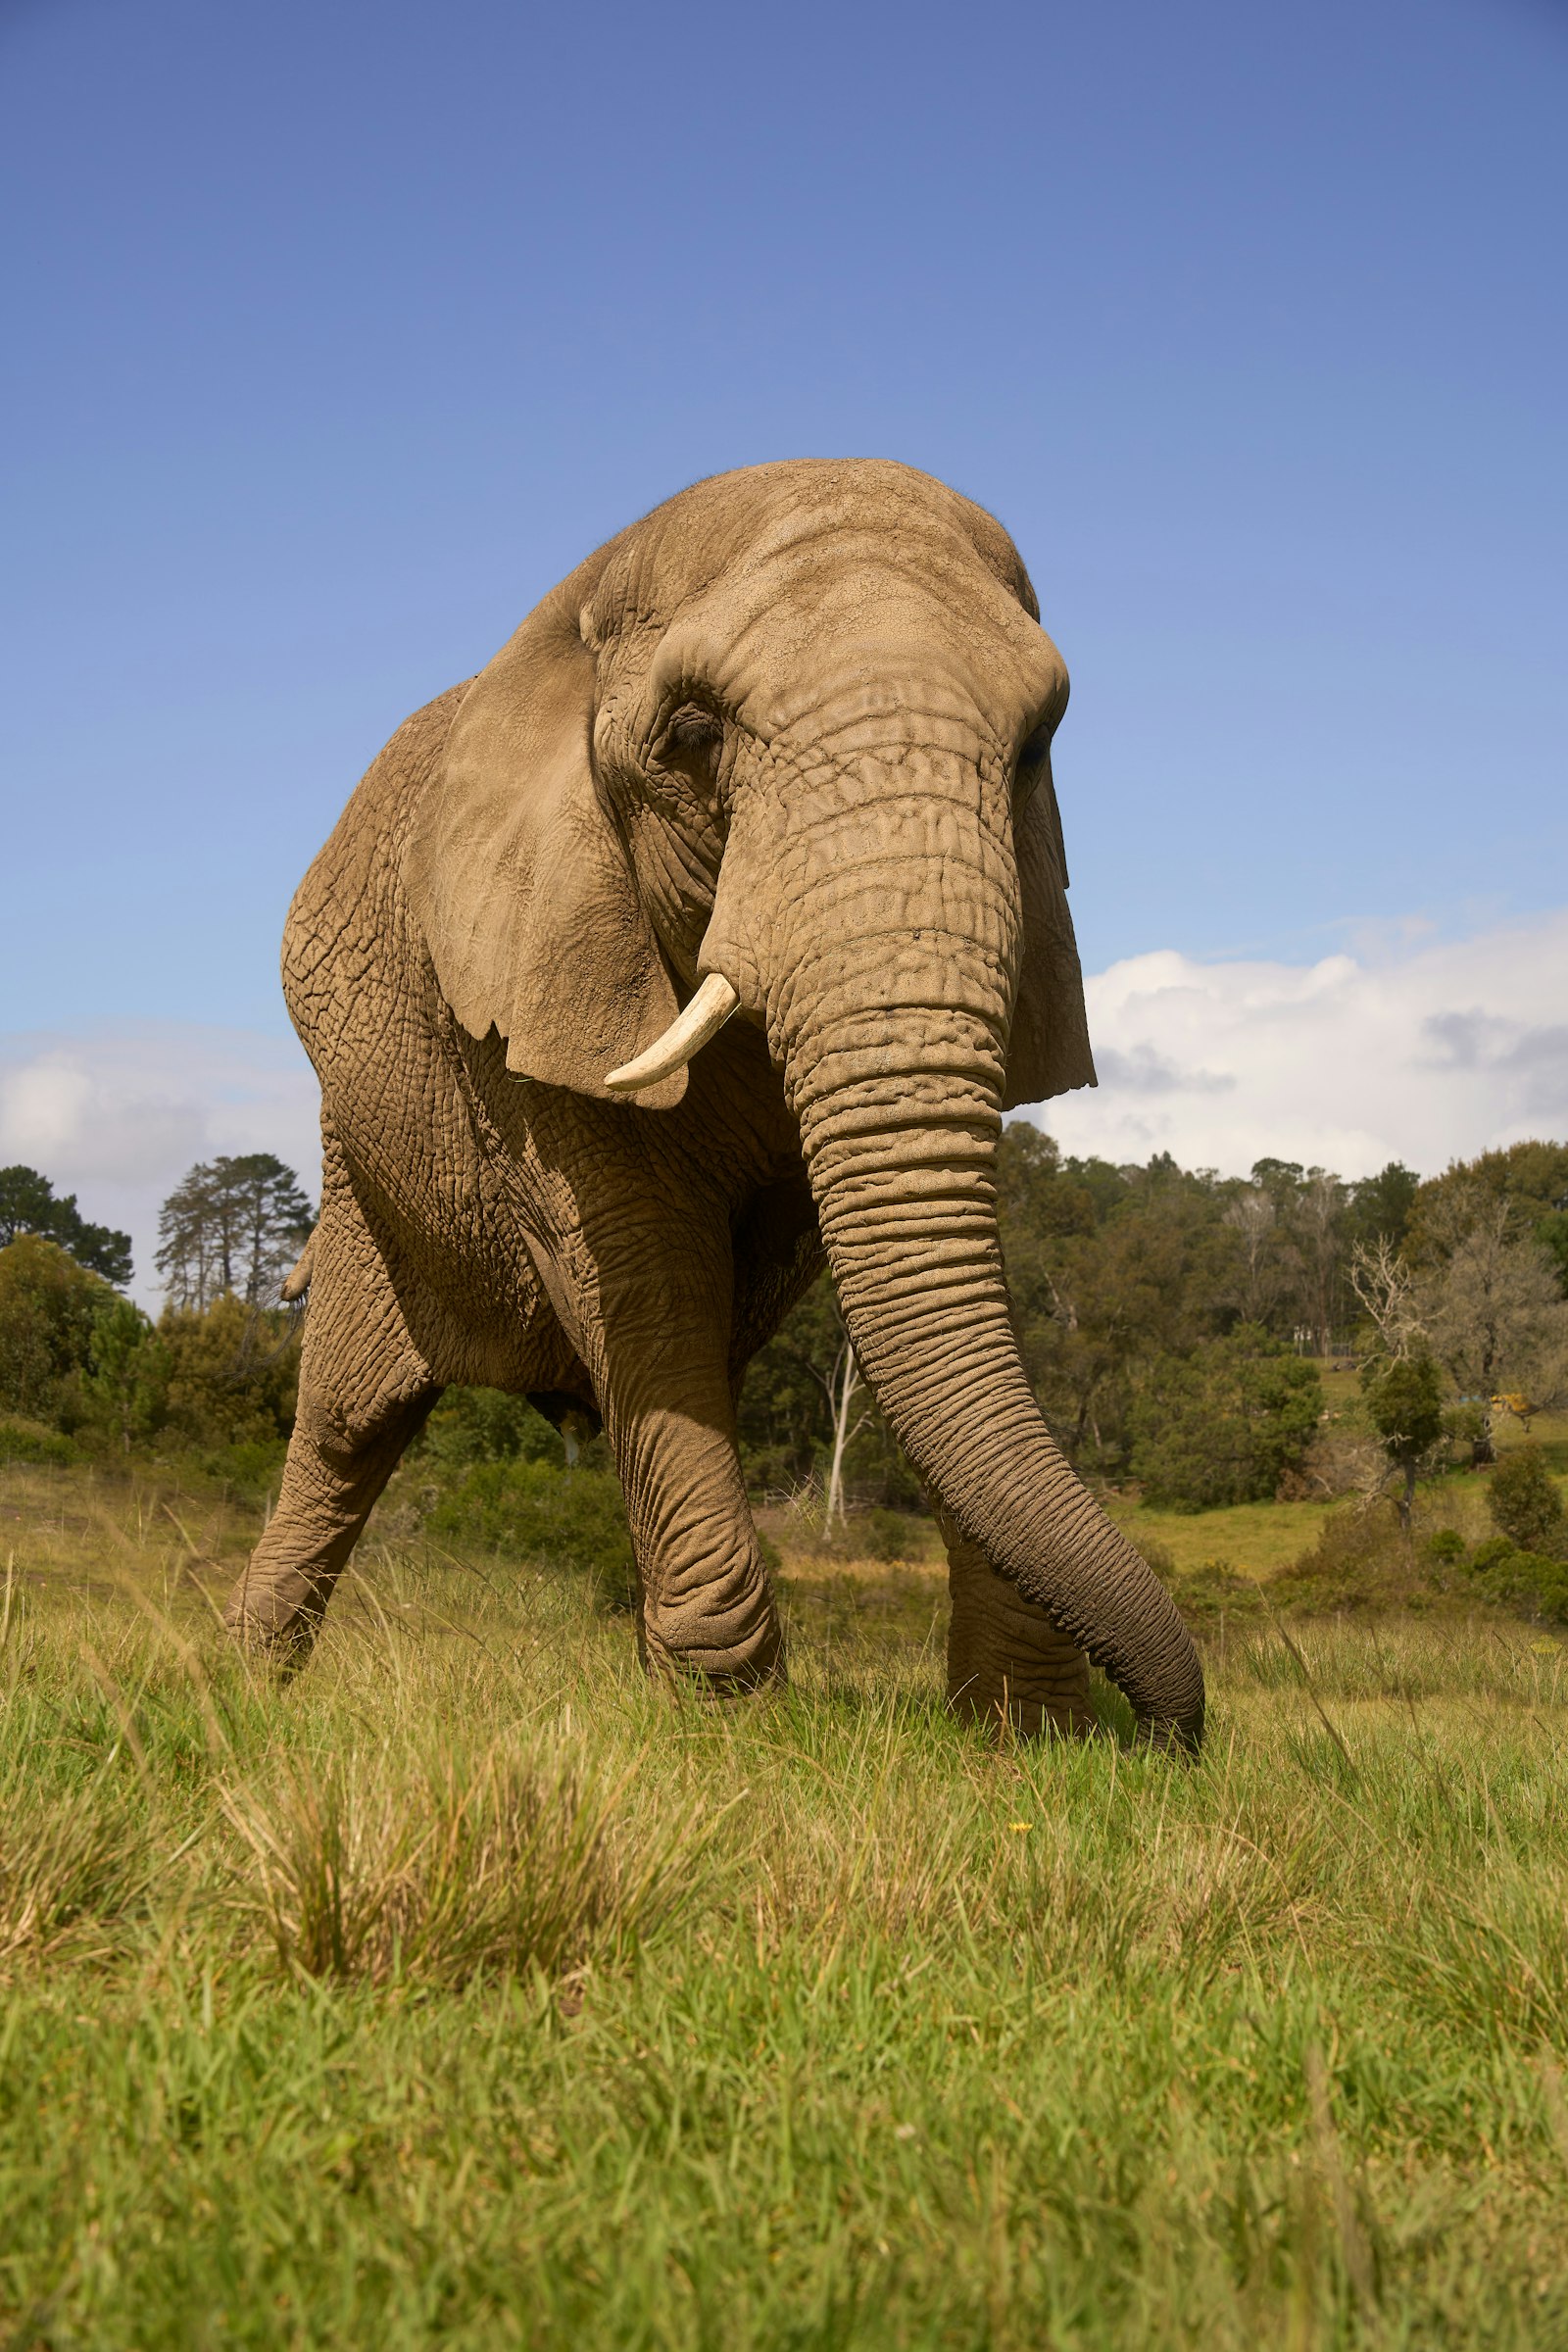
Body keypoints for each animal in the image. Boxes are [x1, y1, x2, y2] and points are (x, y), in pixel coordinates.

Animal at [225, 459, 1204, 1751]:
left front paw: (1021, 1736)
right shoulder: (532, 974)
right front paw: (726, 1717)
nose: (1170, 1740)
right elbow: (642, 1271)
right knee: (347, 1427)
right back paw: (238, 1681)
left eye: (1036, 746)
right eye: (693, 737)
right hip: (363, 1171)